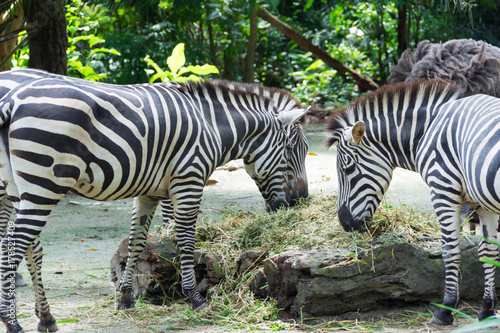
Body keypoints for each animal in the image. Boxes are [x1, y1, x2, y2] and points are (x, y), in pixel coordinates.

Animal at [0, 70, 308, 332]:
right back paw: (12, 322)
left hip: (18, 188)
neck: (212, 126)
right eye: (291, 149)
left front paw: (126, 297)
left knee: (23, 245)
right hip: (44, 186)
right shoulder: (188, 180)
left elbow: (136, 242)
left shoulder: (148, 192)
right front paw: (194, 296)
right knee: (14, 246)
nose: (299, 202)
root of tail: (12, 101)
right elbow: (185, 240)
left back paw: (46, 319)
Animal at [326, 80, 500, 324]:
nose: (345, 223)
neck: (427, 130)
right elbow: (488, 253)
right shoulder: (482, 203)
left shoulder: (443, 190)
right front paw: (487, 309)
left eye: (347, 168)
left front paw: (446, 309)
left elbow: (449, 250)